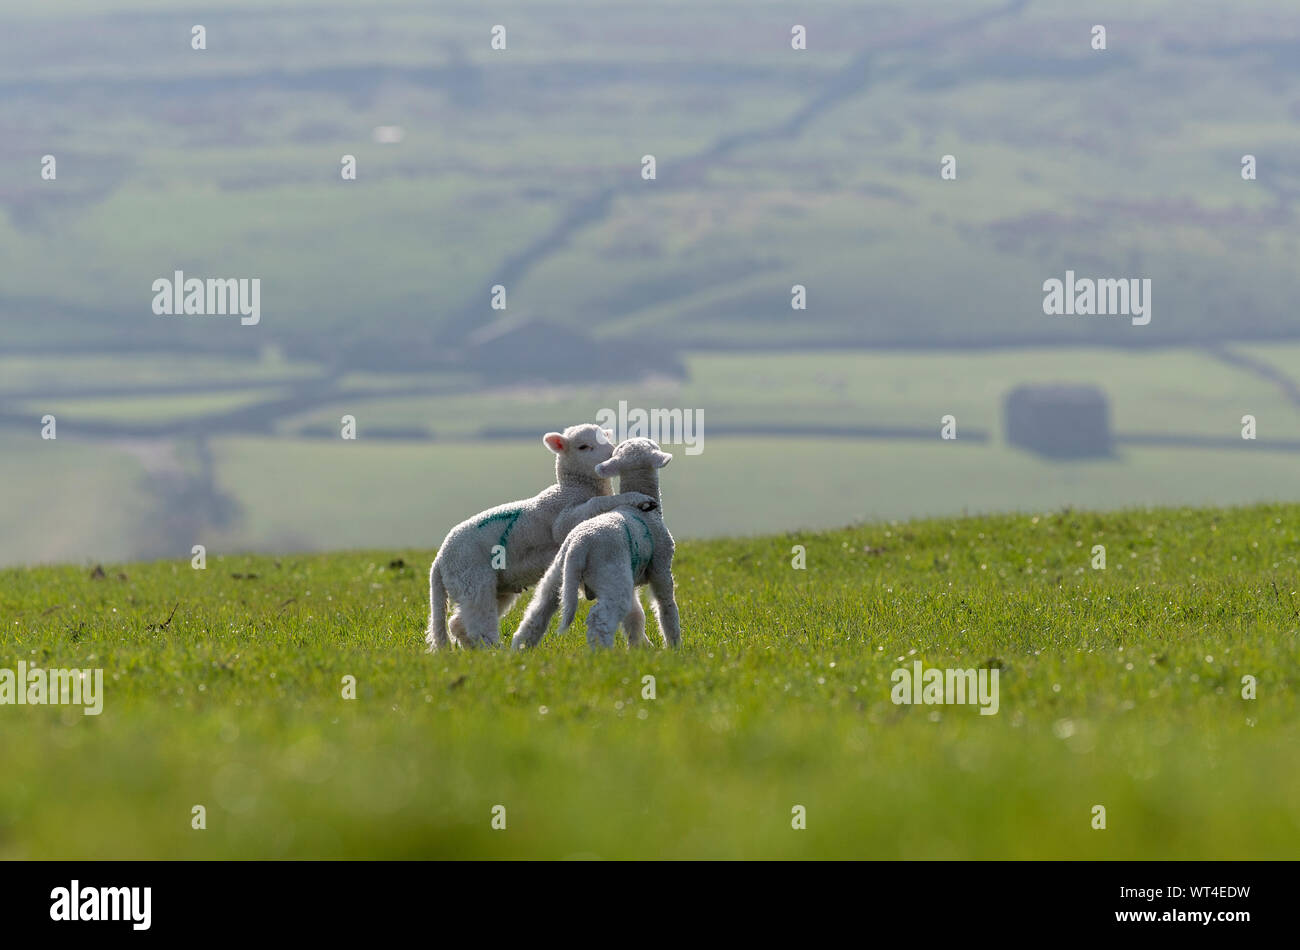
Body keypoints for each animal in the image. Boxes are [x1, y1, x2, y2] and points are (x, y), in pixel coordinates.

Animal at [426, 426, 655, 649]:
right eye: (583, 446)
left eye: (607, 440)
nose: (611, 455)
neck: (573, 489)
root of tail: (439, 560)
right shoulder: (564, 519)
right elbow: (595, 504)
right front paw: (639, 499)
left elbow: (634, 610)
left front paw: (645, 646)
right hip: (472, 579)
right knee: (477, 622)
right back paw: (494, 651)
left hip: (494, 587)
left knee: (457, 623)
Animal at [512, 439, 686, 654]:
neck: (644, 511)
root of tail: (579, 545)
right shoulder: (661, 565)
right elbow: (667, 607)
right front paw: (674, 647)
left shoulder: (631, 578)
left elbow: (635, 615)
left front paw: (638, 646)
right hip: (612, 576)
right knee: (600, 619)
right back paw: (603, 654)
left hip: (558, 576)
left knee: (537, 613)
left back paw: (520, 649)